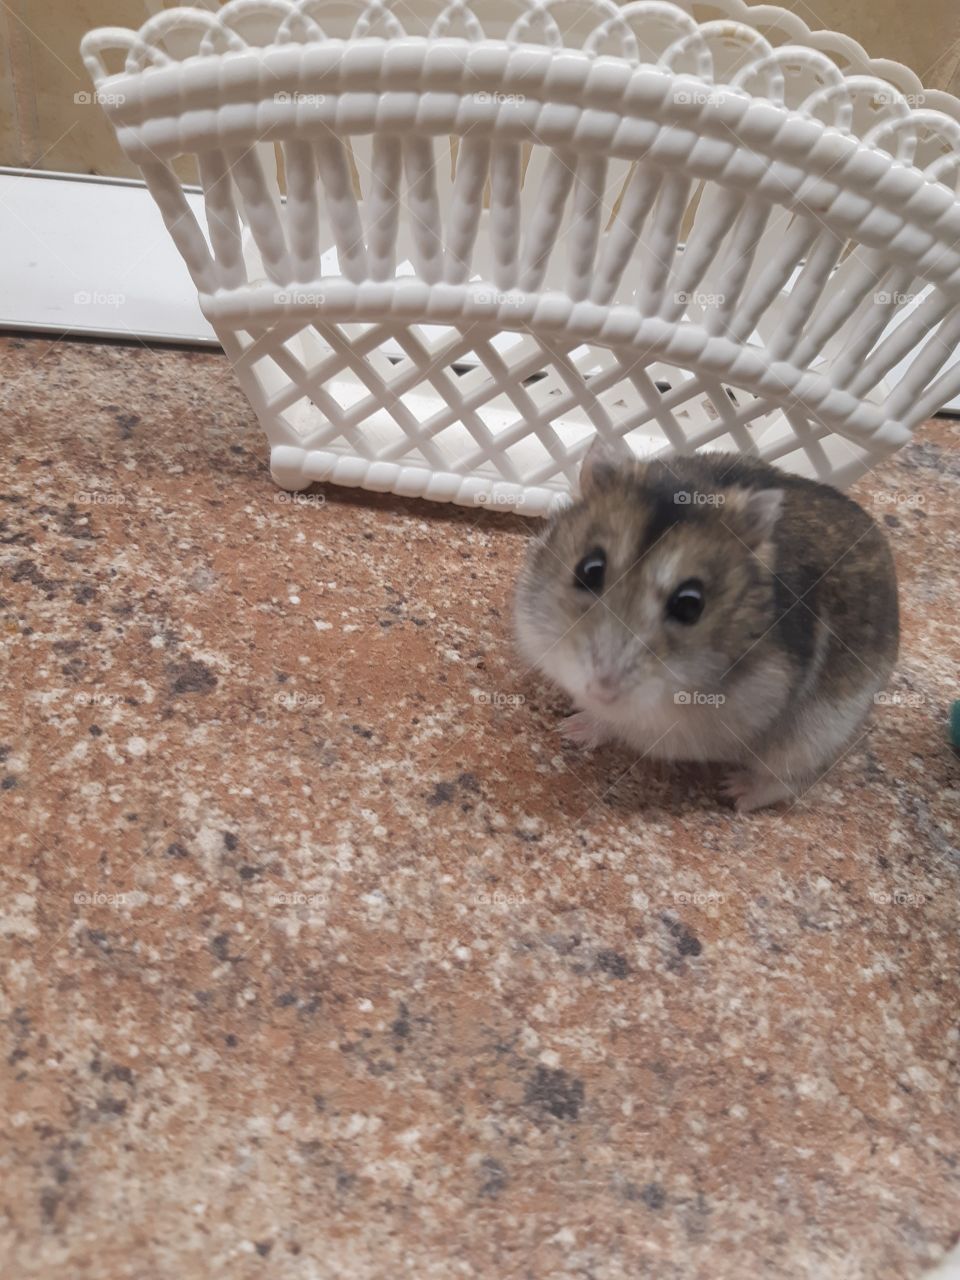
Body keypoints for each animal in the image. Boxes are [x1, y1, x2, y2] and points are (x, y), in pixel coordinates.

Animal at [514, 437, 899, 811]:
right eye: (588, 569)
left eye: (690, 605)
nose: (601, 689)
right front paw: (570, 728)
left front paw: (571, 729)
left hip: (812, 739)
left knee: (792, 779)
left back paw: (736, 792)